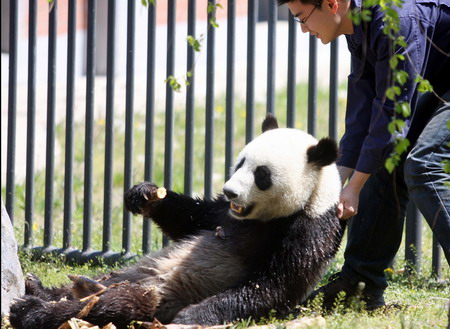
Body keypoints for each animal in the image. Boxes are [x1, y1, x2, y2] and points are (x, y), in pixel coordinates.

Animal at [8, 113, 344, 328]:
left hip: (157, 294)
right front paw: (143, 194)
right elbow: (190, 218)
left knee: (112, 305)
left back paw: (32, 310)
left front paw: (192, 317)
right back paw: (38, 288)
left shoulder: (306, 229)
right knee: (87, 289)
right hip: (123, 274)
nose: (230, 191)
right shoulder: (222, 215)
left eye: (262, 175)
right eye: (240, 163)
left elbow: (272, 285)